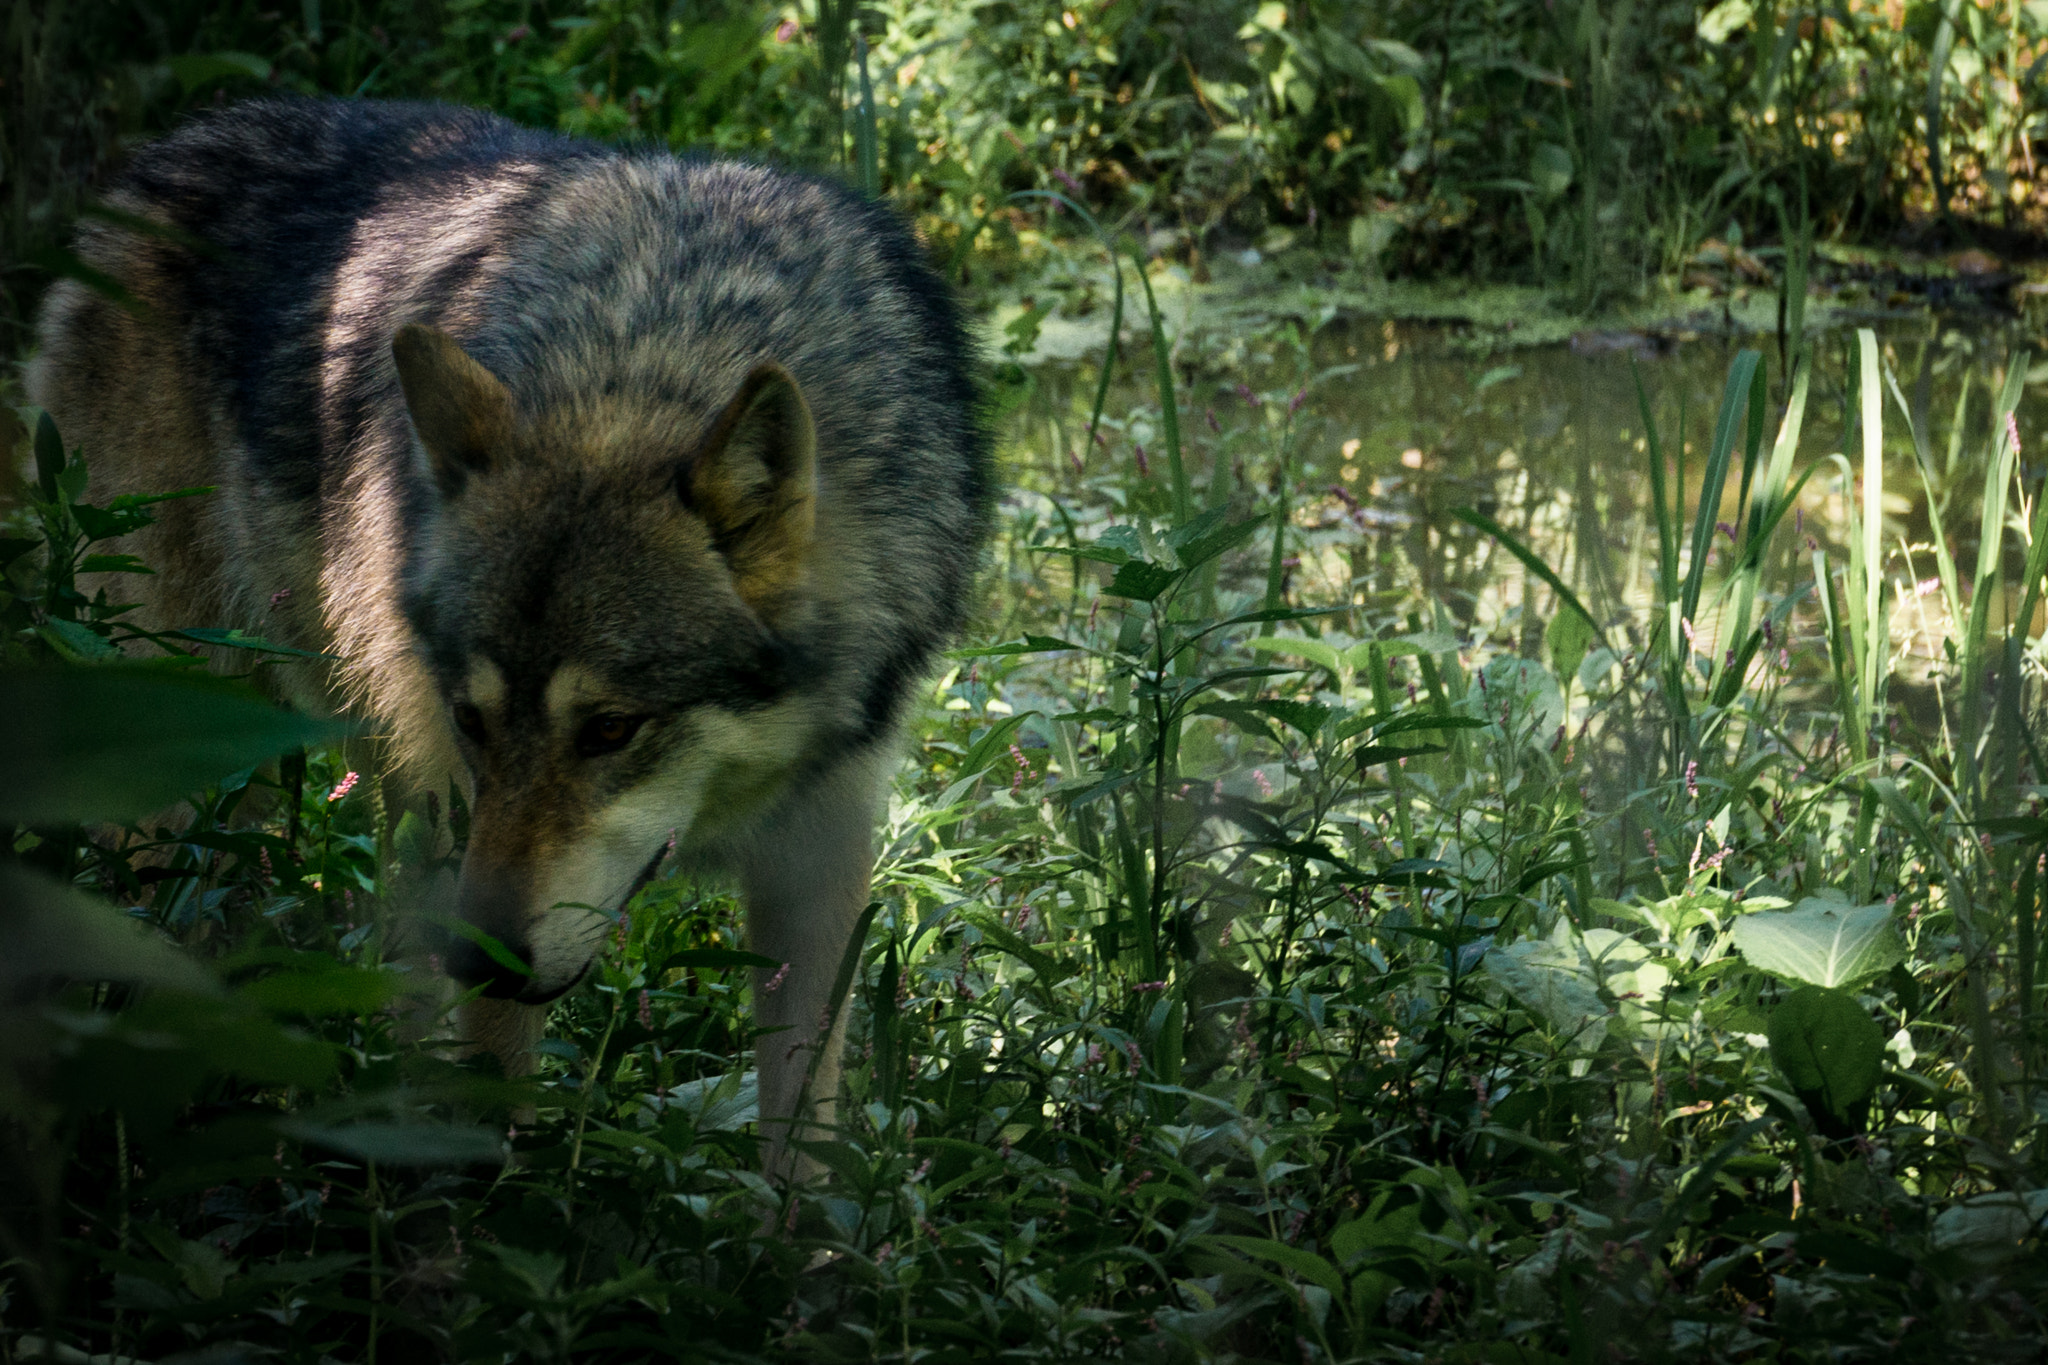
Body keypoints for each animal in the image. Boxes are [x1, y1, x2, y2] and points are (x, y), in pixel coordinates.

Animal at [28, 98, 990, 1171]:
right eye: (476, 718)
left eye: (610, 729)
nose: (480, 956)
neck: (647, 356)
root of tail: (152, 162)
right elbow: (496, 1089)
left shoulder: (822, 851)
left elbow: (803, 1135)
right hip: (200, 772)